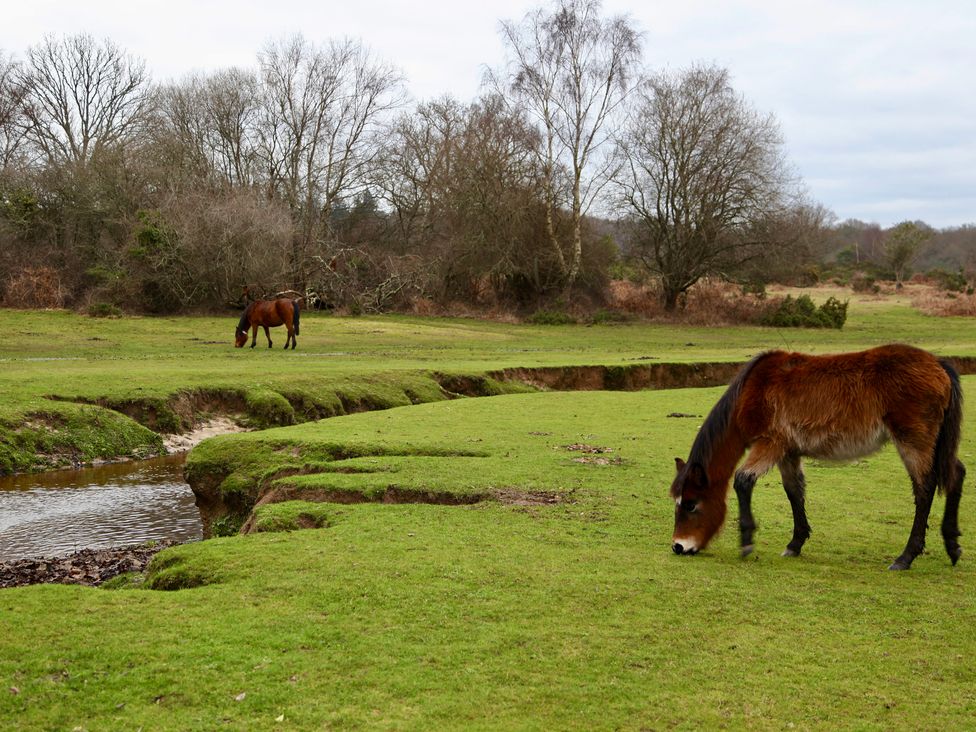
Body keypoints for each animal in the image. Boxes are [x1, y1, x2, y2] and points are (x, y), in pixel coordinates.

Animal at [668, 344, 964, 572]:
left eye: (691, 505)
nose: (678, 546)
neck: (753, 389)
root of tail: (938, 363)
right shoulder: (788, 452)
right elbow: (794, 492)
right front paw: (795, 544)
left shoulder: (771, 445)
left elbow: (743, 480)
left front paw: (747, 540)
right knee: (956, 474)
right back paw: (952, 546)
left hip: (913, 442)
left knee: (924, 488)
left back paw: (905, 558)